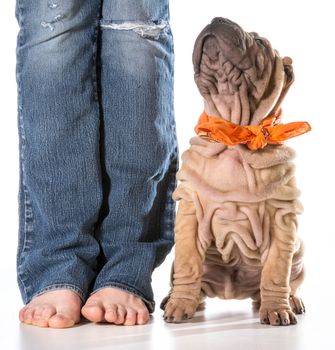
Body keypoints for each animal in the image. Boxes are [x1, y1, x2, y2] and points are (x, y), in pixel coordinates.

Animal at [161, 17, 312, 326]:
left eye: (261, 44)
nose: (216, 19)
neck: (236, 131)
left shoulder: (283, 218)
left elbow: (276, 272)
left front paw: (276, 309)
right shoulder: (189, 210)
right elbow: (188, 264)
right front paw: (180, 304)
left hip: (300, 252)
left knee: (286, 282)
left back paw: (289, 300)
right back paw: (177, 299)